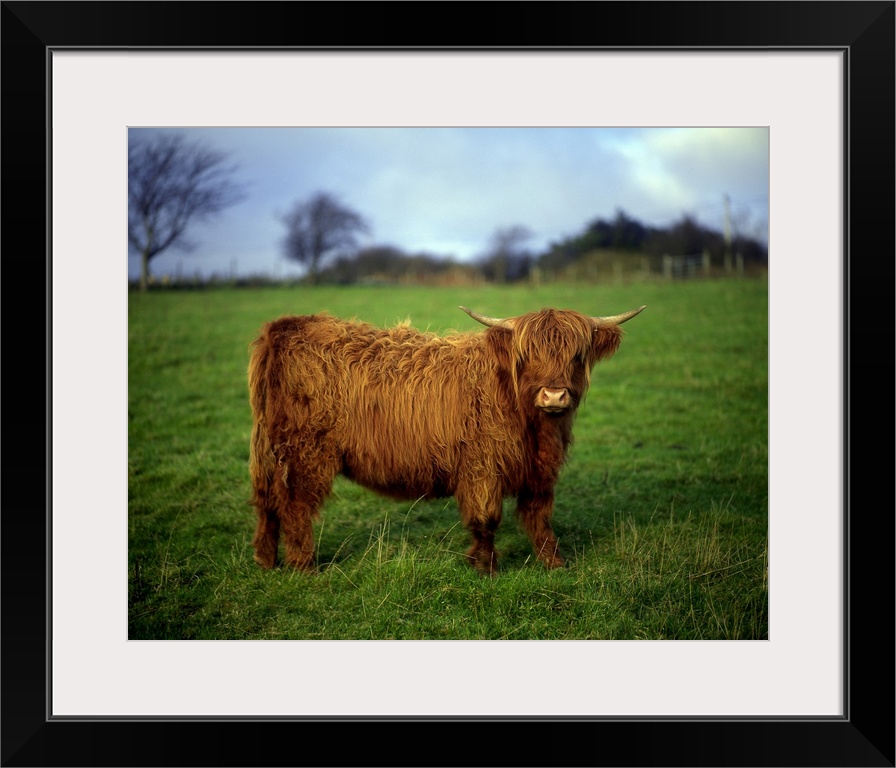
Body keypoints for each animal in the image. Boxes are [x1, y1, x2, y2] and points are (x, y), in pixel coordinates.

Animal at [247, 304, 644, 572]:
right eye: (527, 355)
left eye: (577, 355)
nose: (554, 395)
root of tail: (283, 328)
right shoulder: (482, 467)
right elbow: (486, 518)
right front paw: (485, 566)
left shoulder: (539, 470)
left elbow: (540, 516)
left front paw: (554, 562)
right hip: (305, 453)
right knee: (295, 504)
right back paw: (303, 565)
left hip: (270, 449)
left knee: (267, 502)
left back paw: (265, 560)